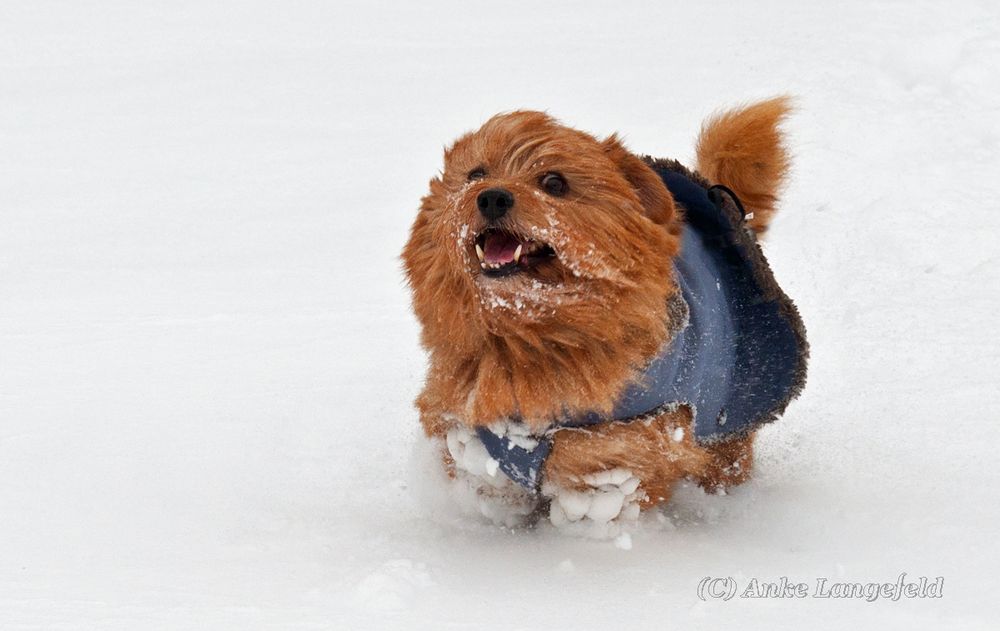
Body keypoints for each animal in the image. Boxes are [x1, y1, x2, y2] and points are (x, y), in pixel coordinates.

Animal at [402, 97, 808, 532]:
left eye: (554, 183)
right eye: (476, 174)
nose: (491, 197)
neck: (529, 340)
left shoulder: (623, 451)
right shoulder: (463, 427)